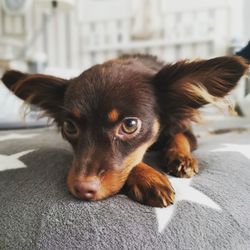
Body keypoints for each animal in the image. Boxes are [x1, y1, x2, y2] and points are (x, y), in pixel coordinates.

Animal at [1, 54, 248, 207]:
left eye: (130, 125)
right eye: (69, 127)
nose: (82, 189)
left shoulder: (183, 126)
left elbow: (179, 138)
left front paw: (181, 158)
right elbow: (132, 161)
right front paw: (148, 178)